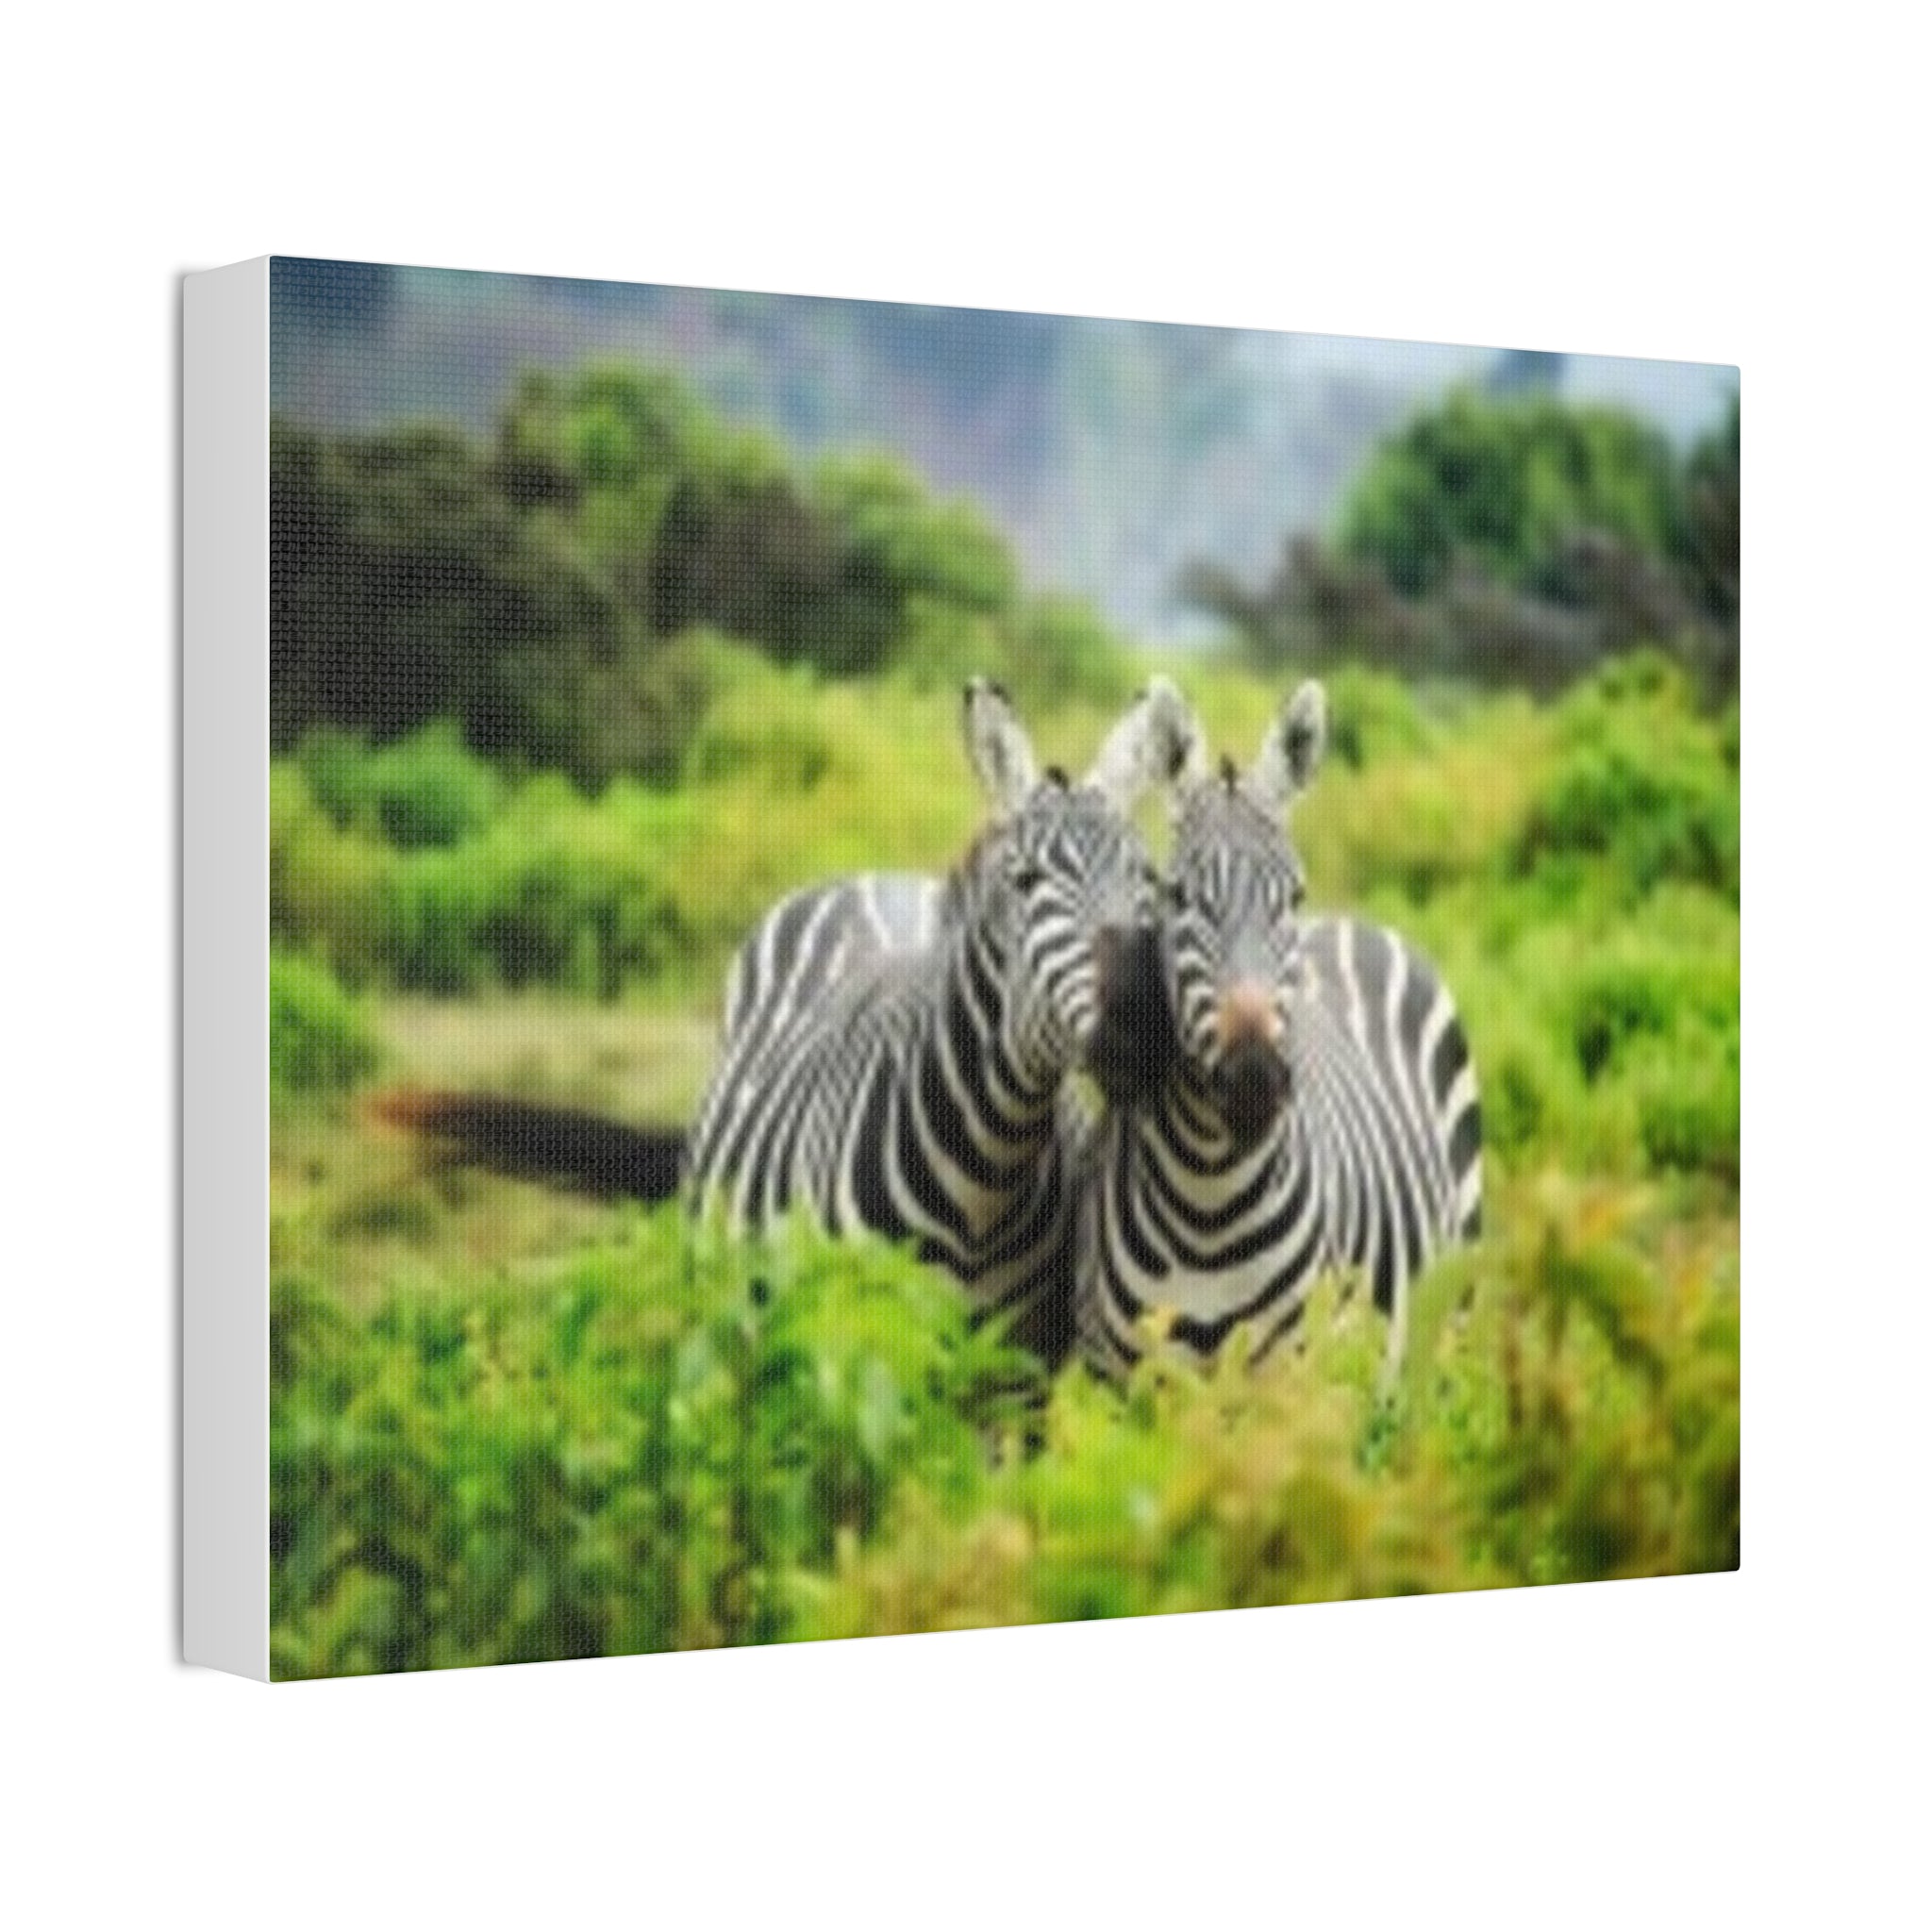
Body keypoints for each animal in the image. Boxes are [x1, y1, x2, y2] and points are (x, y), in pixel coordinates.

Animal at [684, 677, 1184, 1360]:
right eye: (1025, 880)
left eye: (1150, 880)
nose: (1142, 1023)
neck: (986, 1176)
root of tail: (874, 876)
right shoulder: (853, 1343)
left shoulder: (1020, 1362)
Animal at [1074, 679, 1483, 1378]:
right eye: (1177, 895)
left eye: (1293, 897)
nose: (1254, 1078)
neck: (1208, 1201)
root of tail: (1354, 922)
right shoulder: (1118, 1375)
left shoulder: (1290, 1370)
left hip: (1446, 1321)